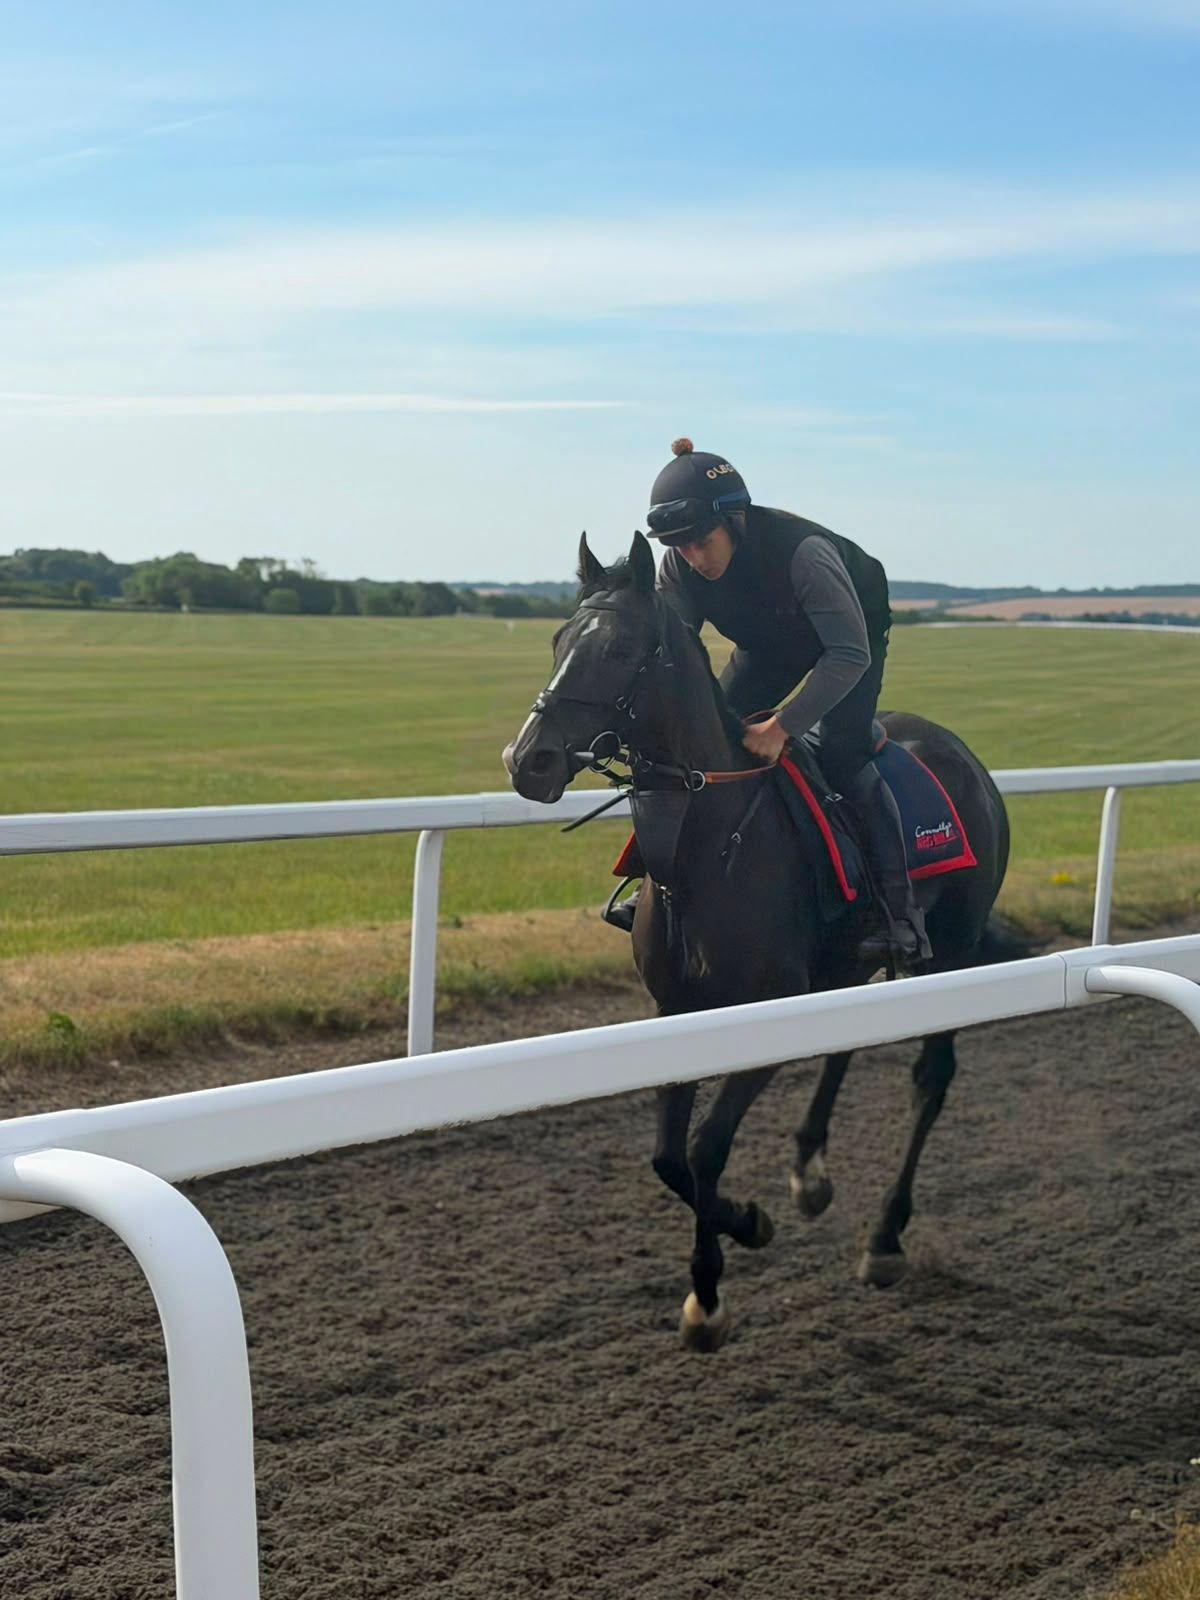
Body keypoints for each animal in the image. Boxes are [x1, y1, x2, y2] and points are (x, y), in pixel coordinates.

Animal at [504, 531, 1017, 1352]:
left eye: (618, 649)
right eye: (557, 640)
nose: (529, 761)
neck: (706, 850)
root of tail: (961, 756)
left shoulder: (766, 1011)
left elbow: (706, 1148)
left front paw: (718, 1277)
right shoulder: (677, 1010)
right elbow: (667, 1158)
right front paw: (744, 1230)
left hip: (954, 946)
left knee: (932, 1076)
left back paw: (886, 1237)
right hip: (848, 963)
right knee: (845, 1042)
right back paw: (810, 1171)